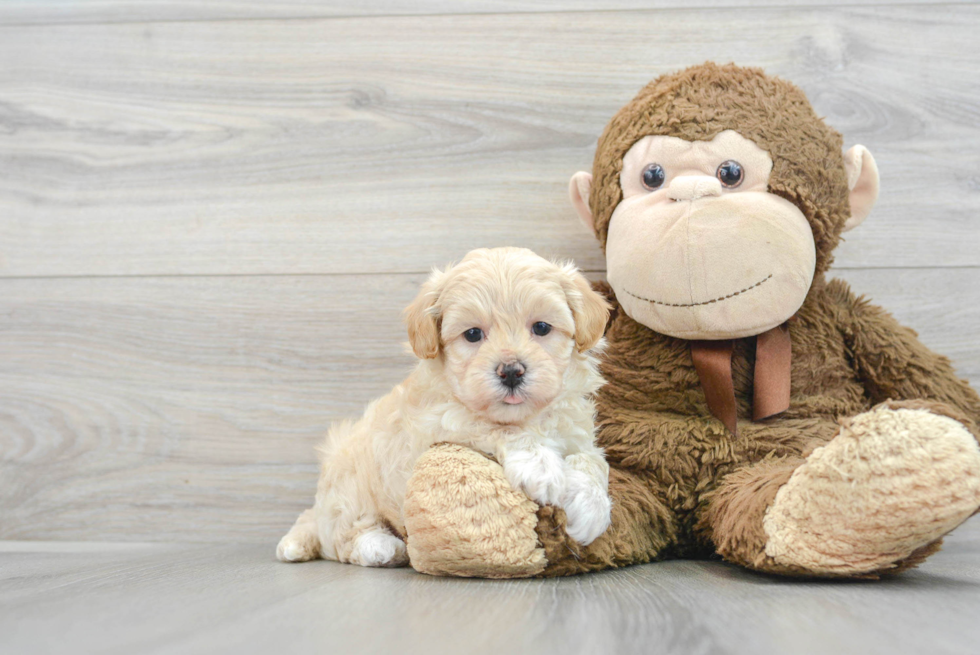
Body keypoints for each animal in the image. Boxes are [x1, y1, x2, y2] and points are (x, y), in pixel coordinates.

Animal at [278, 249, 612, 568]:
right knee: (343, 533)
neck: (528, 417)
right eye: (473, 334)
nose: (511, 371)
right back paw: (379, 546)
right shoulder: (444, 421)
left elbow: (594, 461)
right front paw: (540, 465)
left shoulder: (578, 435)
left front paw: (591, 508)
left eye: (541, 327)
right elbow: (497, 428)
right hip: (349, 482)